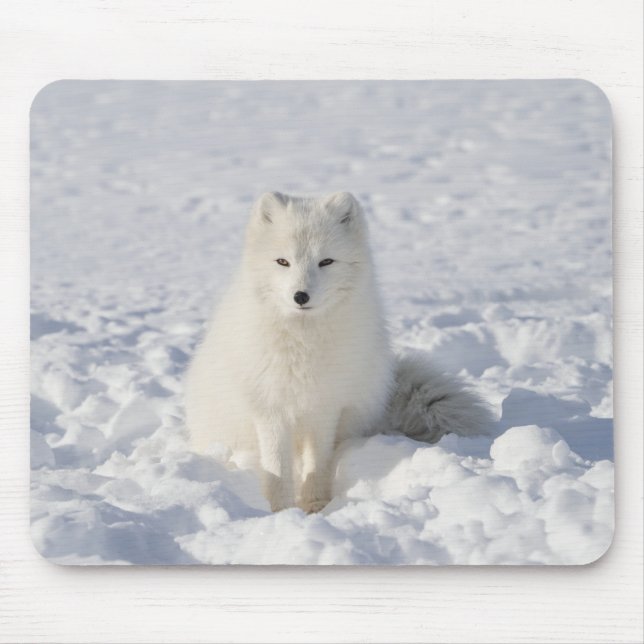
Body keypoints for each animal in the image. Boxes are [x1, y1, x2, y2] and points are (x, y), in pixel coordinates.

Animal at [185, 191, 492, 512]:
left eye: (326, 261)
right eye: (283, 261)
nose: (300, 296)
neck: (303, 343)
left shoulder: (325, 407)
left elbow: (316, 463)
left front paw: (315, 505)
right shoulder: (269, 408)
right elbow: (277, 469)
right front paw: (281, 511)